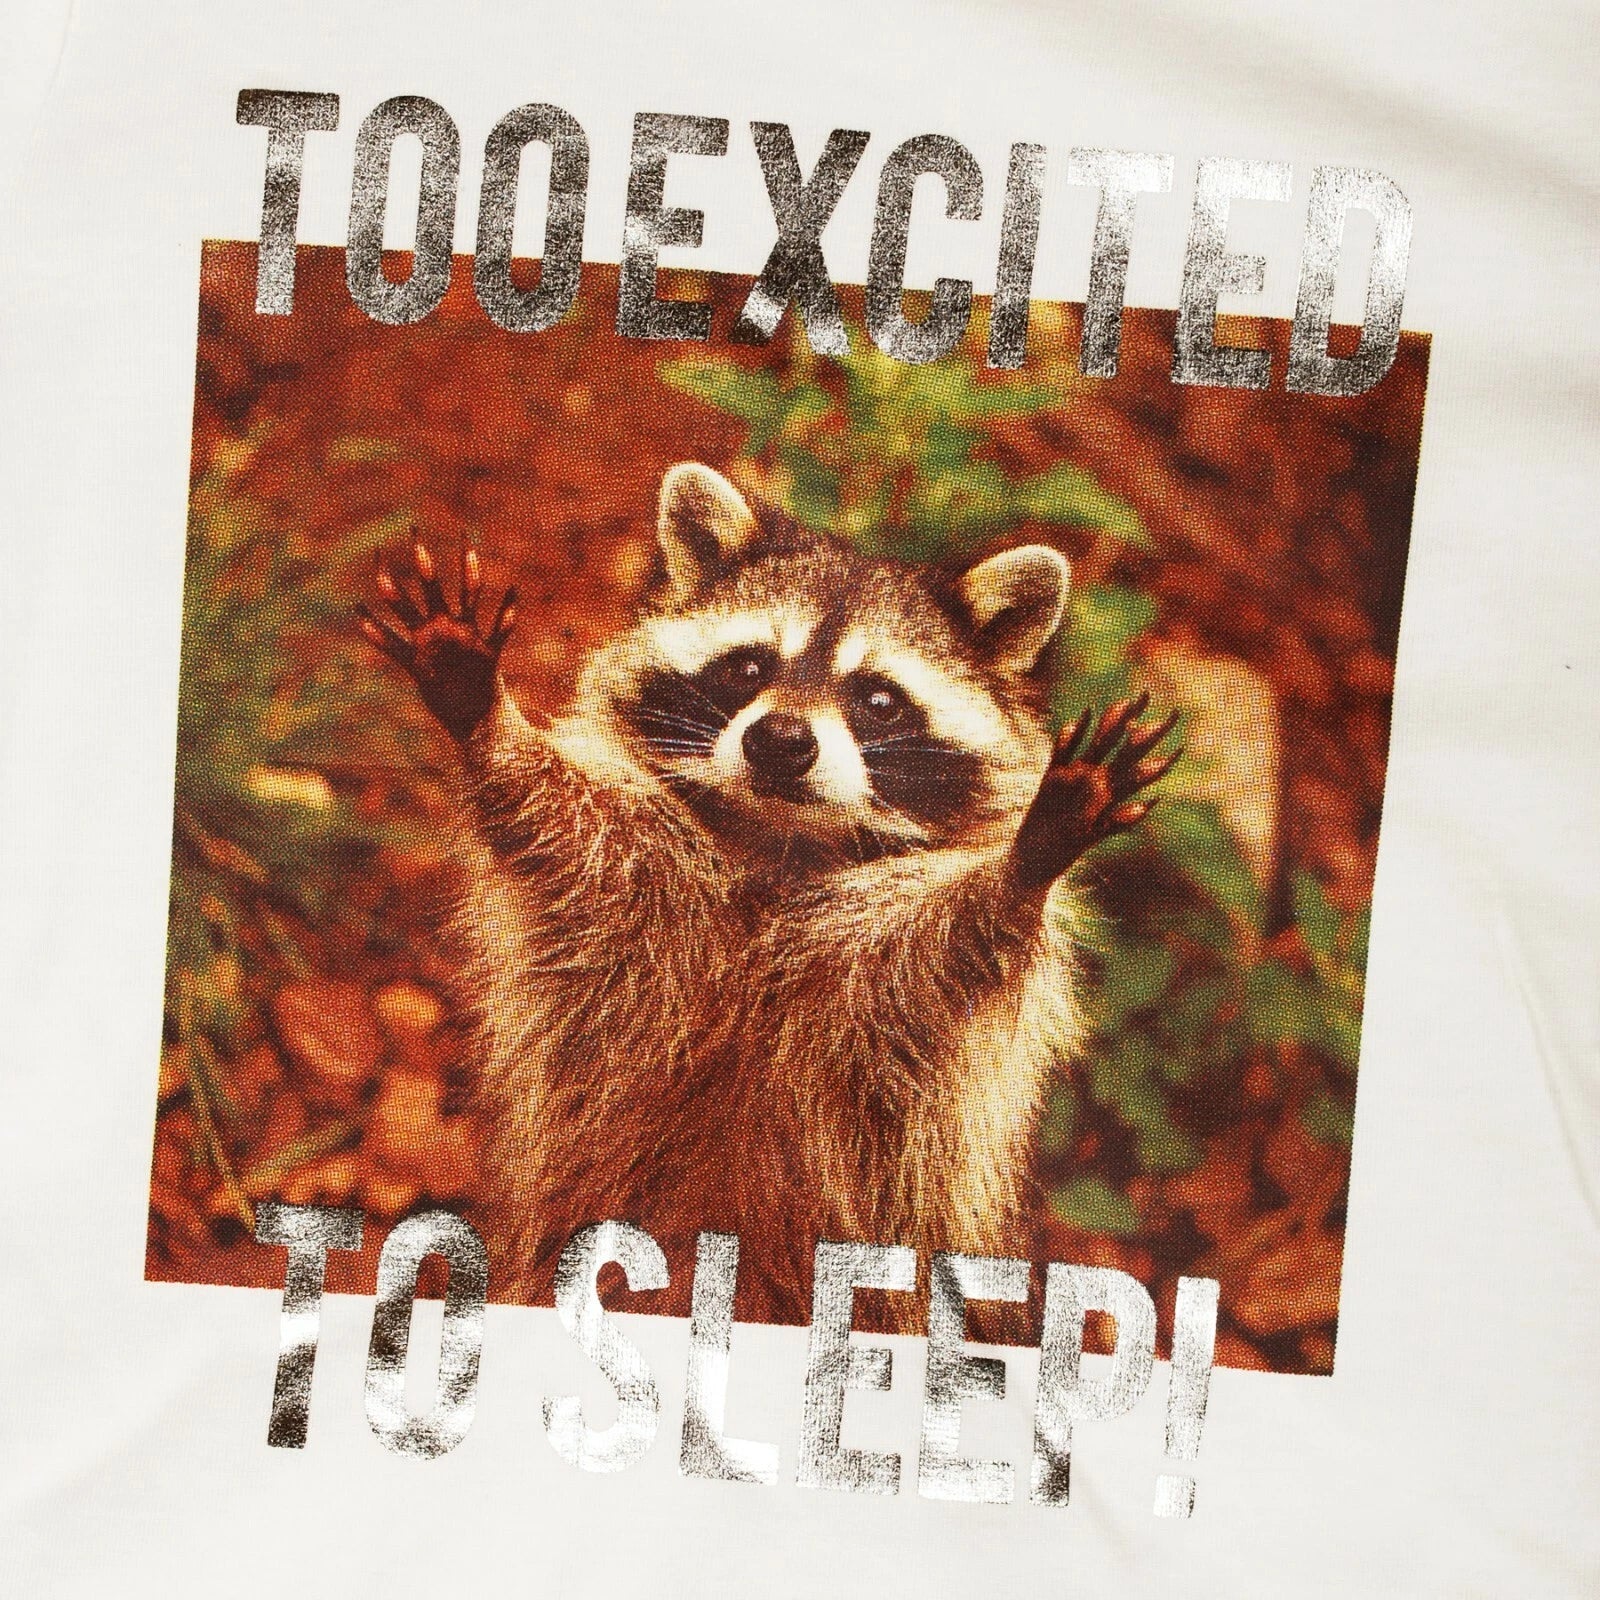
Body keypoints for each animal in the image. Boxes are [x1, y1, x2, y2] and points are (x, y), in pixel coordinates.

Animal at [358, 463, 1177, 1327]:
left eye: (878, 699)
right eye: (748, 667)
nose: (780, 741)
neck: (780, 846)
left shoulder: (890, 981)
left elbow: (960, 944)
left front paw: (1026, 862)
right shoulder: (628, 878)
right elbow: (549, 818)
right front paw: (488, 719)